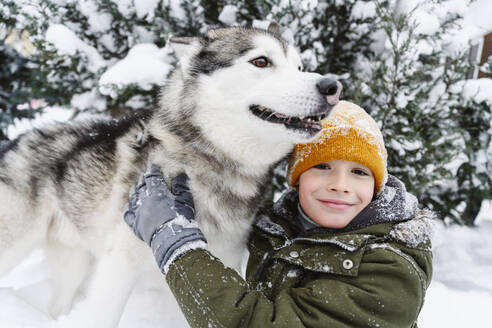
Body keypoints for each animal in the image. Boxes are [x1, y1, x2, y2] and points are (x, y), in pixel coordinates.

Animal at [0, 25, 342, 326]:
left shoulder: (211, 266)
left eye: (299, 67)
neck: (210, 163)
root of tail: (18, 140)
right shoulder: (119, 266)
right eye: (261, 61)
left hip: (73, 264)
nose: (332, 87)